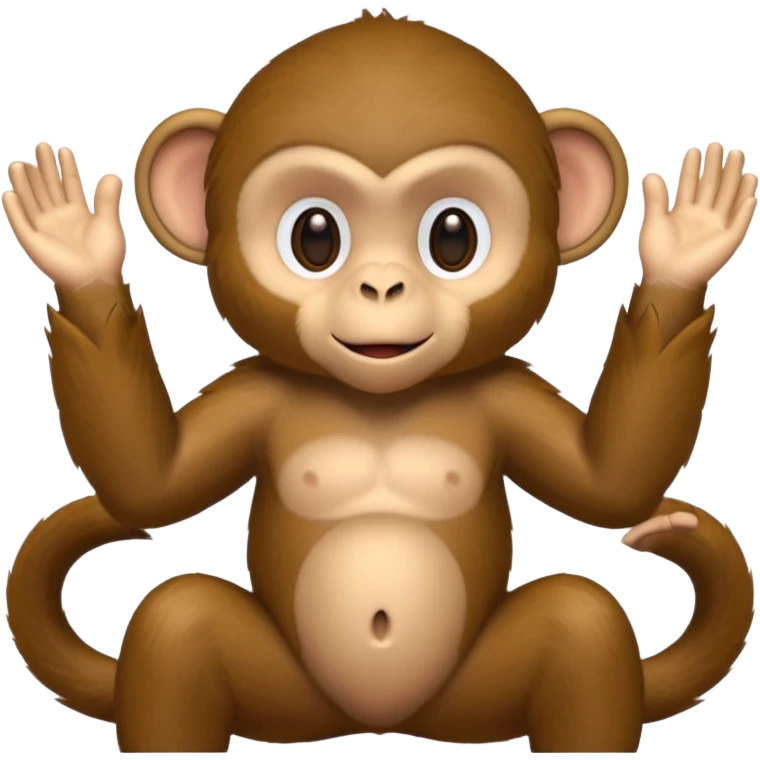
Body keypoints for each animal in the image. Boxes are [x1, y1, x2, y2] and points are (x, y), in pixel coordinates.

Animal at [3, 9, 756, 755]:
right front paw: (77, 251)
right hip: (287, 695)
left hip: (472, 696)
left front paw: (686, 250)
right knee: (176, 623)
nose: (383, 286)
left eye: (453, 237)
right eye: (315, 237)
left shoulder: (505, 390)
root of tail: (379, 721)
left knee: (584, 624)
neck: (381, 398)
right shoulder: (255, 390)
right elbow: (150, 483)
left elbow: (610, 482)